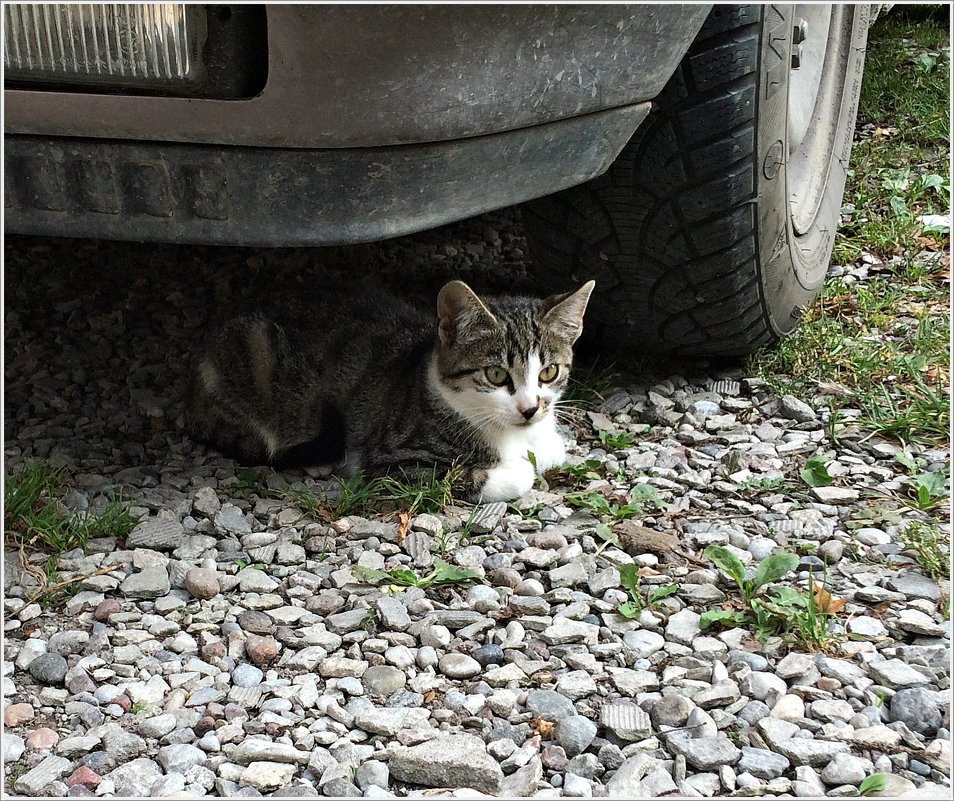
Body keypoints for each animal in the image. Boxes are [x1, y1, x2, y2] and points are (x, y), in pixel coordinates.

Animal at [183, 278, 592, 496]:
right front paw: (516, 470)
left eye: (549, 372)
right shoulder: (389, 461)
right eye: (495, 375)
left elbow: (553, 450)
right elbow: (499, 474)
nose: (530, 408)